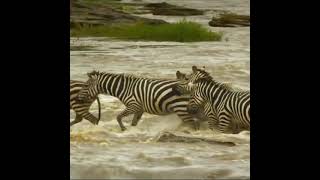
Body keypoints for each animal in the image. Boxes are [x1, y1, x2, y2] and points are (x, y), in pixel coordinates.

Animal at [77, 70, 206, 131]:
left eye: (85, 86)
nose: (78, 98)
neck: (124, 88)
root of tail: (193, 86)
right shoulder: (139, 109)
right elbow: (134, 123)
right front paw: (130, 130)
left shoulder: (133, 105)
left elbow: (118, 117)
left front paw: (123, 129)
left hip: (182, 108)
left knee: (194, 124)